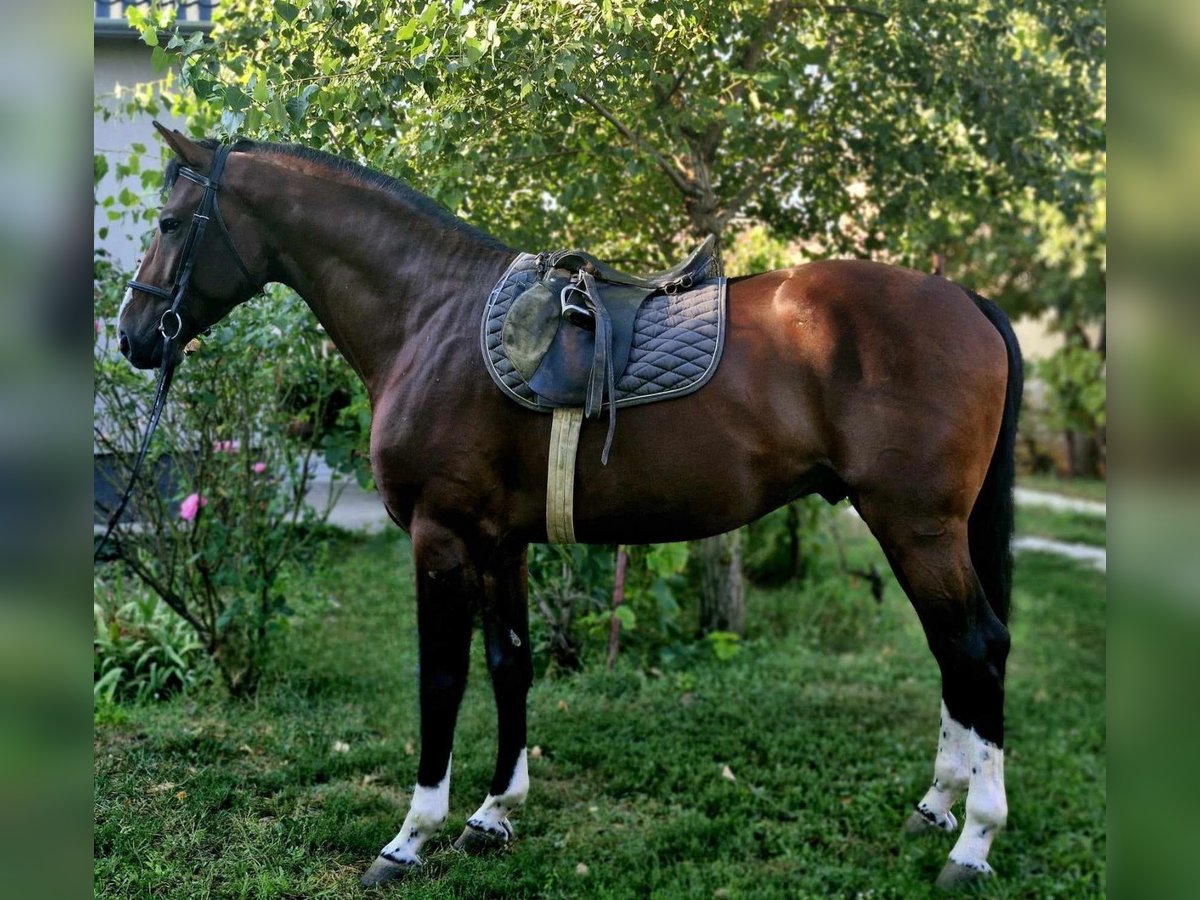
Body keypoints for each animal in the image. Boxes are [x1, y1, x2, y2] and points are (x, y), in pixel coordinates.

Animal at [119, 127, 1022, 897]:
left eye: (170, 221)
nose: (134, 335)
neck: (430, 316)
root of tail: (968, 300)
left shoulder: (440, 537)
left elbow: (441, 679)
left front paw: (410, 838)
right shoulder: (498, 542)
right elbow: (510, 664)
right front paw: (493, 814)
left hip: (916, 526)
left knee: (976, 648)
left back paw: (974, 840)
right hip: (923, 530)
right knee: (954, 655)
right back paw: (936, 804)